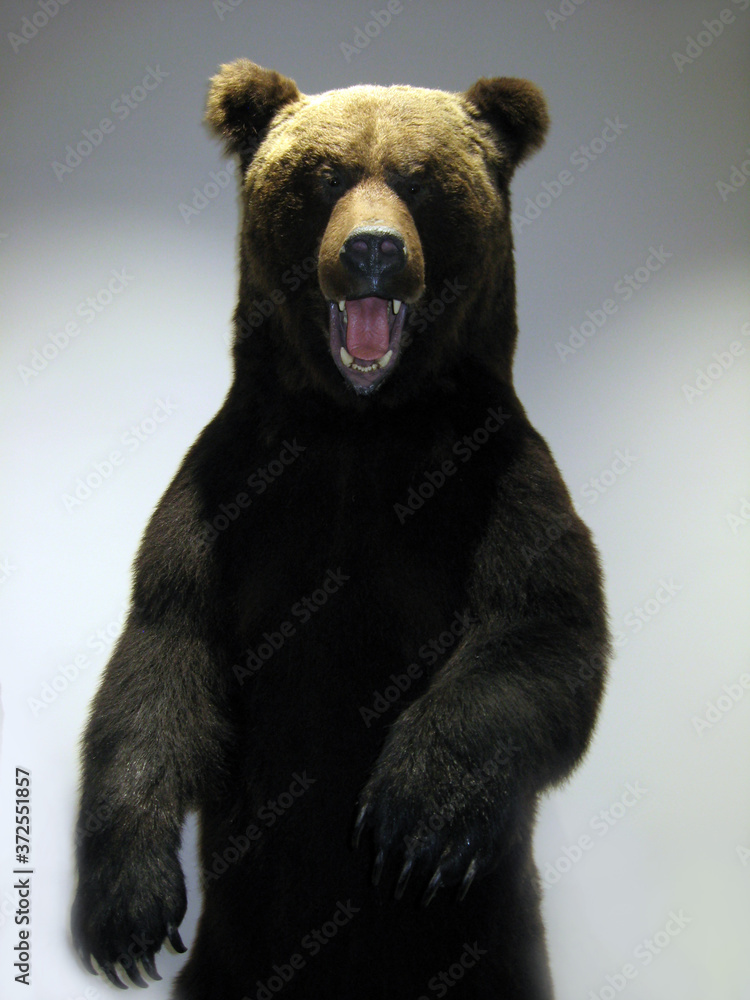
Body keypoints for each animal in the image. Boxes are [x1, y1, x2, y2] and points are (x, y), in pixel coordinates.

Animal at [71, 60, 610, 999]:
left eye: (420, 179)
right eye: (325, 175)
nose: (373, 250)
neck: (361, 425)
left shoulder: (501, 481)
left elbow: (542, 629)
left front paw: (412, 818)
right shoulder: (226, 491)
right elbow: (163, 653)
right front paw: (128, 913)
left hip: (488, 935)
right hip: (237, 942)